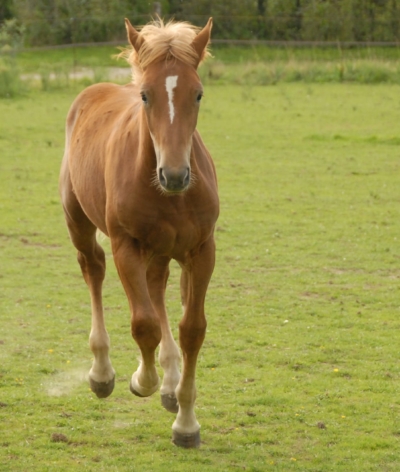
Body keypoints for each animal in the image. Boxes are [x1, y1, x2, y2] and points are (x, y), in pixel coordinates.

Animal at [59, 16, 219, 448]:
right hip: (79, 221)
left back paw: (170, 381)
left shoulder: (202, 249)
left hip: (163, 250)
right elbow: (143, 324)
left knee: (158, 287)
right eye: (146, 96)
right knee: (93, 268)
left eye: (198, 95)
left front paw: (186, 422)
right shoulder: (126, 245)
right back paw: (102, 373)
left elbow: (192, 328)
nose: (175, 175)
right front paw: (142, 380)